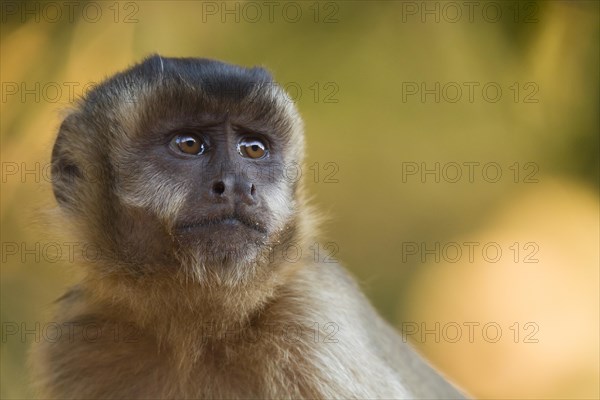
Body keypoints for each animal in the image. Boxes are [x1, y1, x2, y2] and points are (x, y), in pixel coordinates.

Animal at [29, 54, 468, 398]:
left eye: (253, 149)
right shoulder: (78, 339)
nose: (237, 185)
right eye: (189, 144)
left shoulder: (313, 326)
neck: (194, 330)